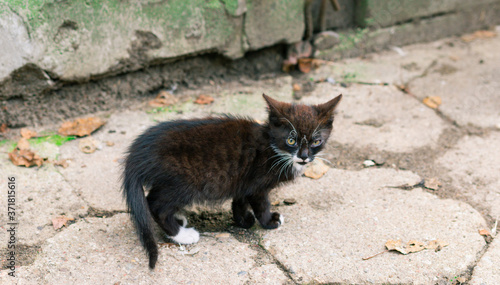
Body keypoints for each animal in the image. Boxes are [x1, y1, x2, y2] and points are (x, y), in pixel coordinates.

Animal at [122, 93, 342, 268]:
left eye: (316, 141)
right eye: (291, 140)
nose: (304, 157)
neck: (275, 150)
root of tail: (138, 153)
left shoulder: (243, 180)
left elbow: (239, 201)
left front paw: (243, 220)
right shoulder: (257, 184)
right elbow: (262, 205)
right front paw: (269, 221)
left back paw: (178, 220)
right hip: (183, 182)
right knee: (155, 204)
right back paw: (182, 235)